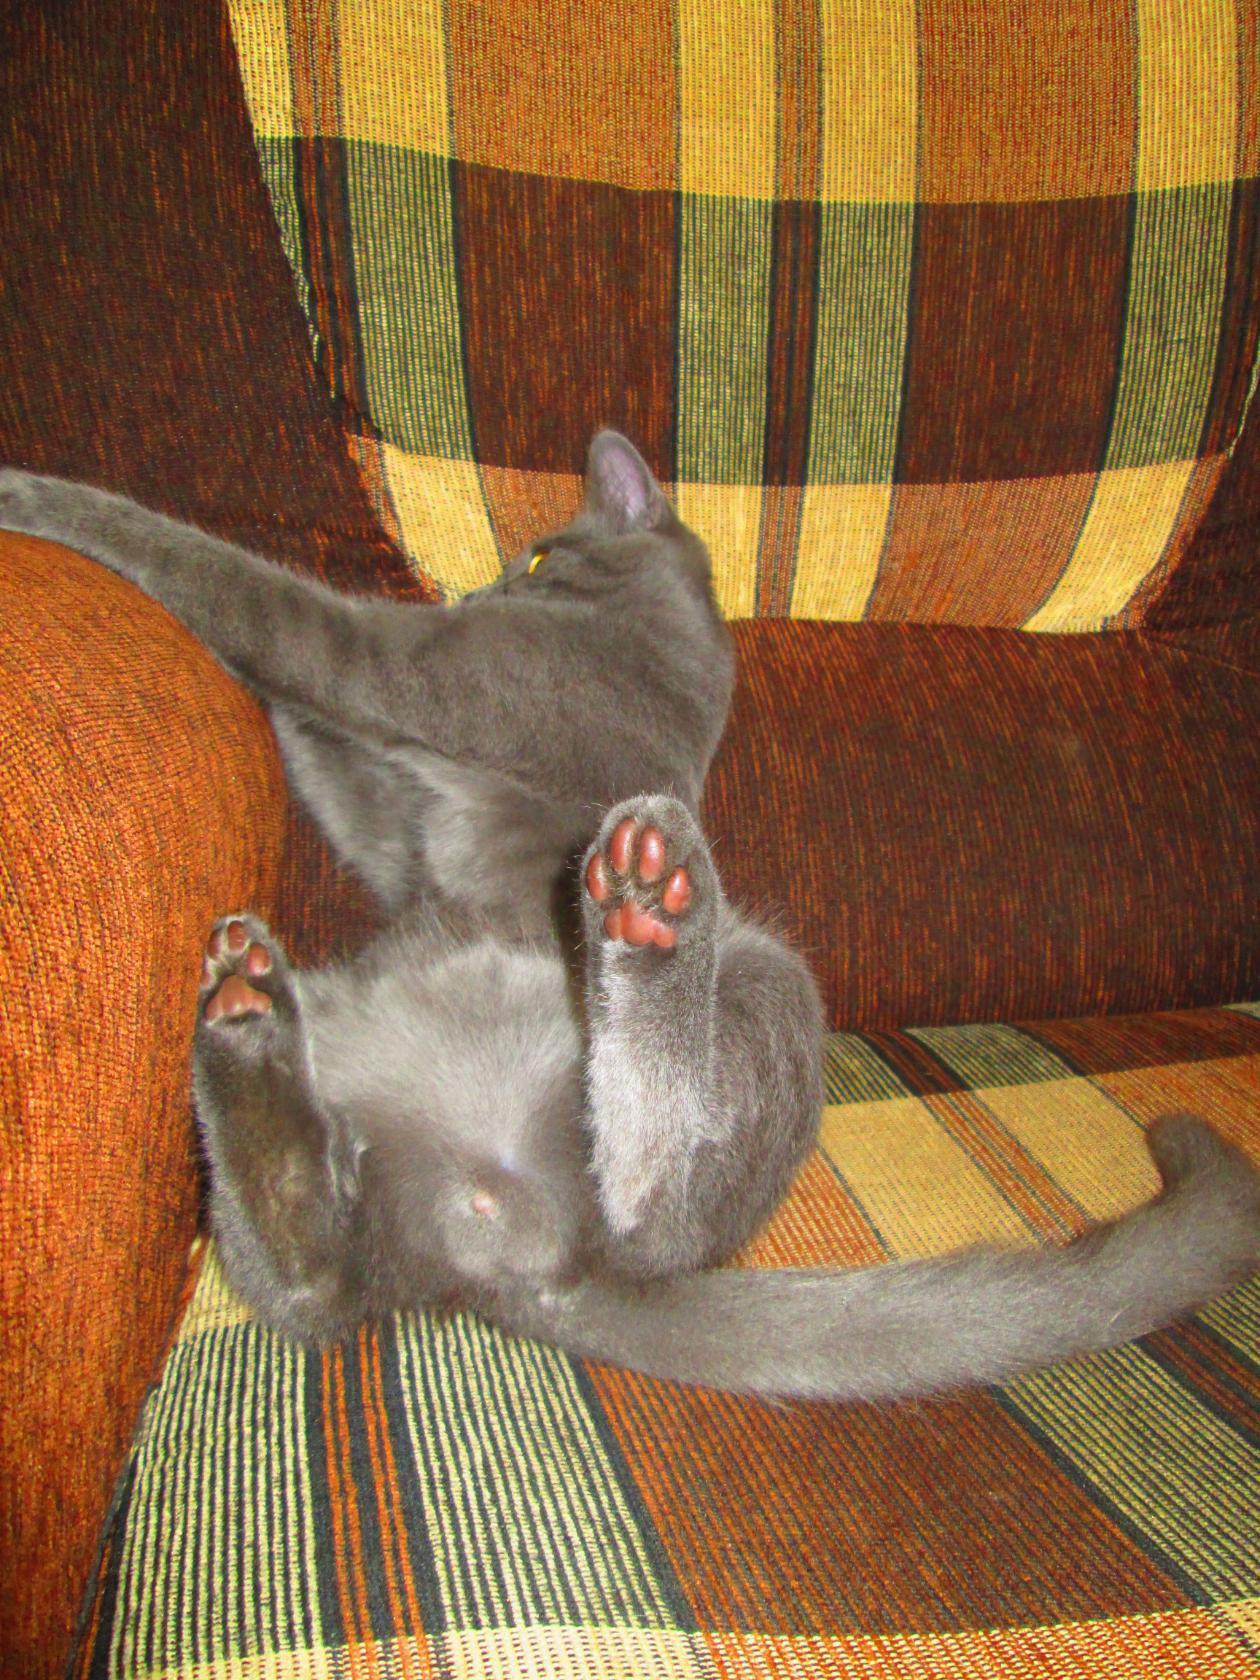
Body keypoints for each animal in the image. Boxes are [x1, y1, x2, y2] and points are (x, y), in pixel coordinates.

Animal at [2, 434, 1257, 1402]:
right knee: (315, 1278)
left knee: (661, 1207)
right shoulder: (387, 822)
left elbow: (247, 592)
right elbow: (319, 746)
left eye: (539, 552)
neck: (659, 648)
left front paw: (35, 498)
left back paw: (647, 909)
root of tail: (518, 1249)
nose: (479, 590)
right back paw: (246, 1017)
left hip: (767, 987)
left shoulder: (419, 672)